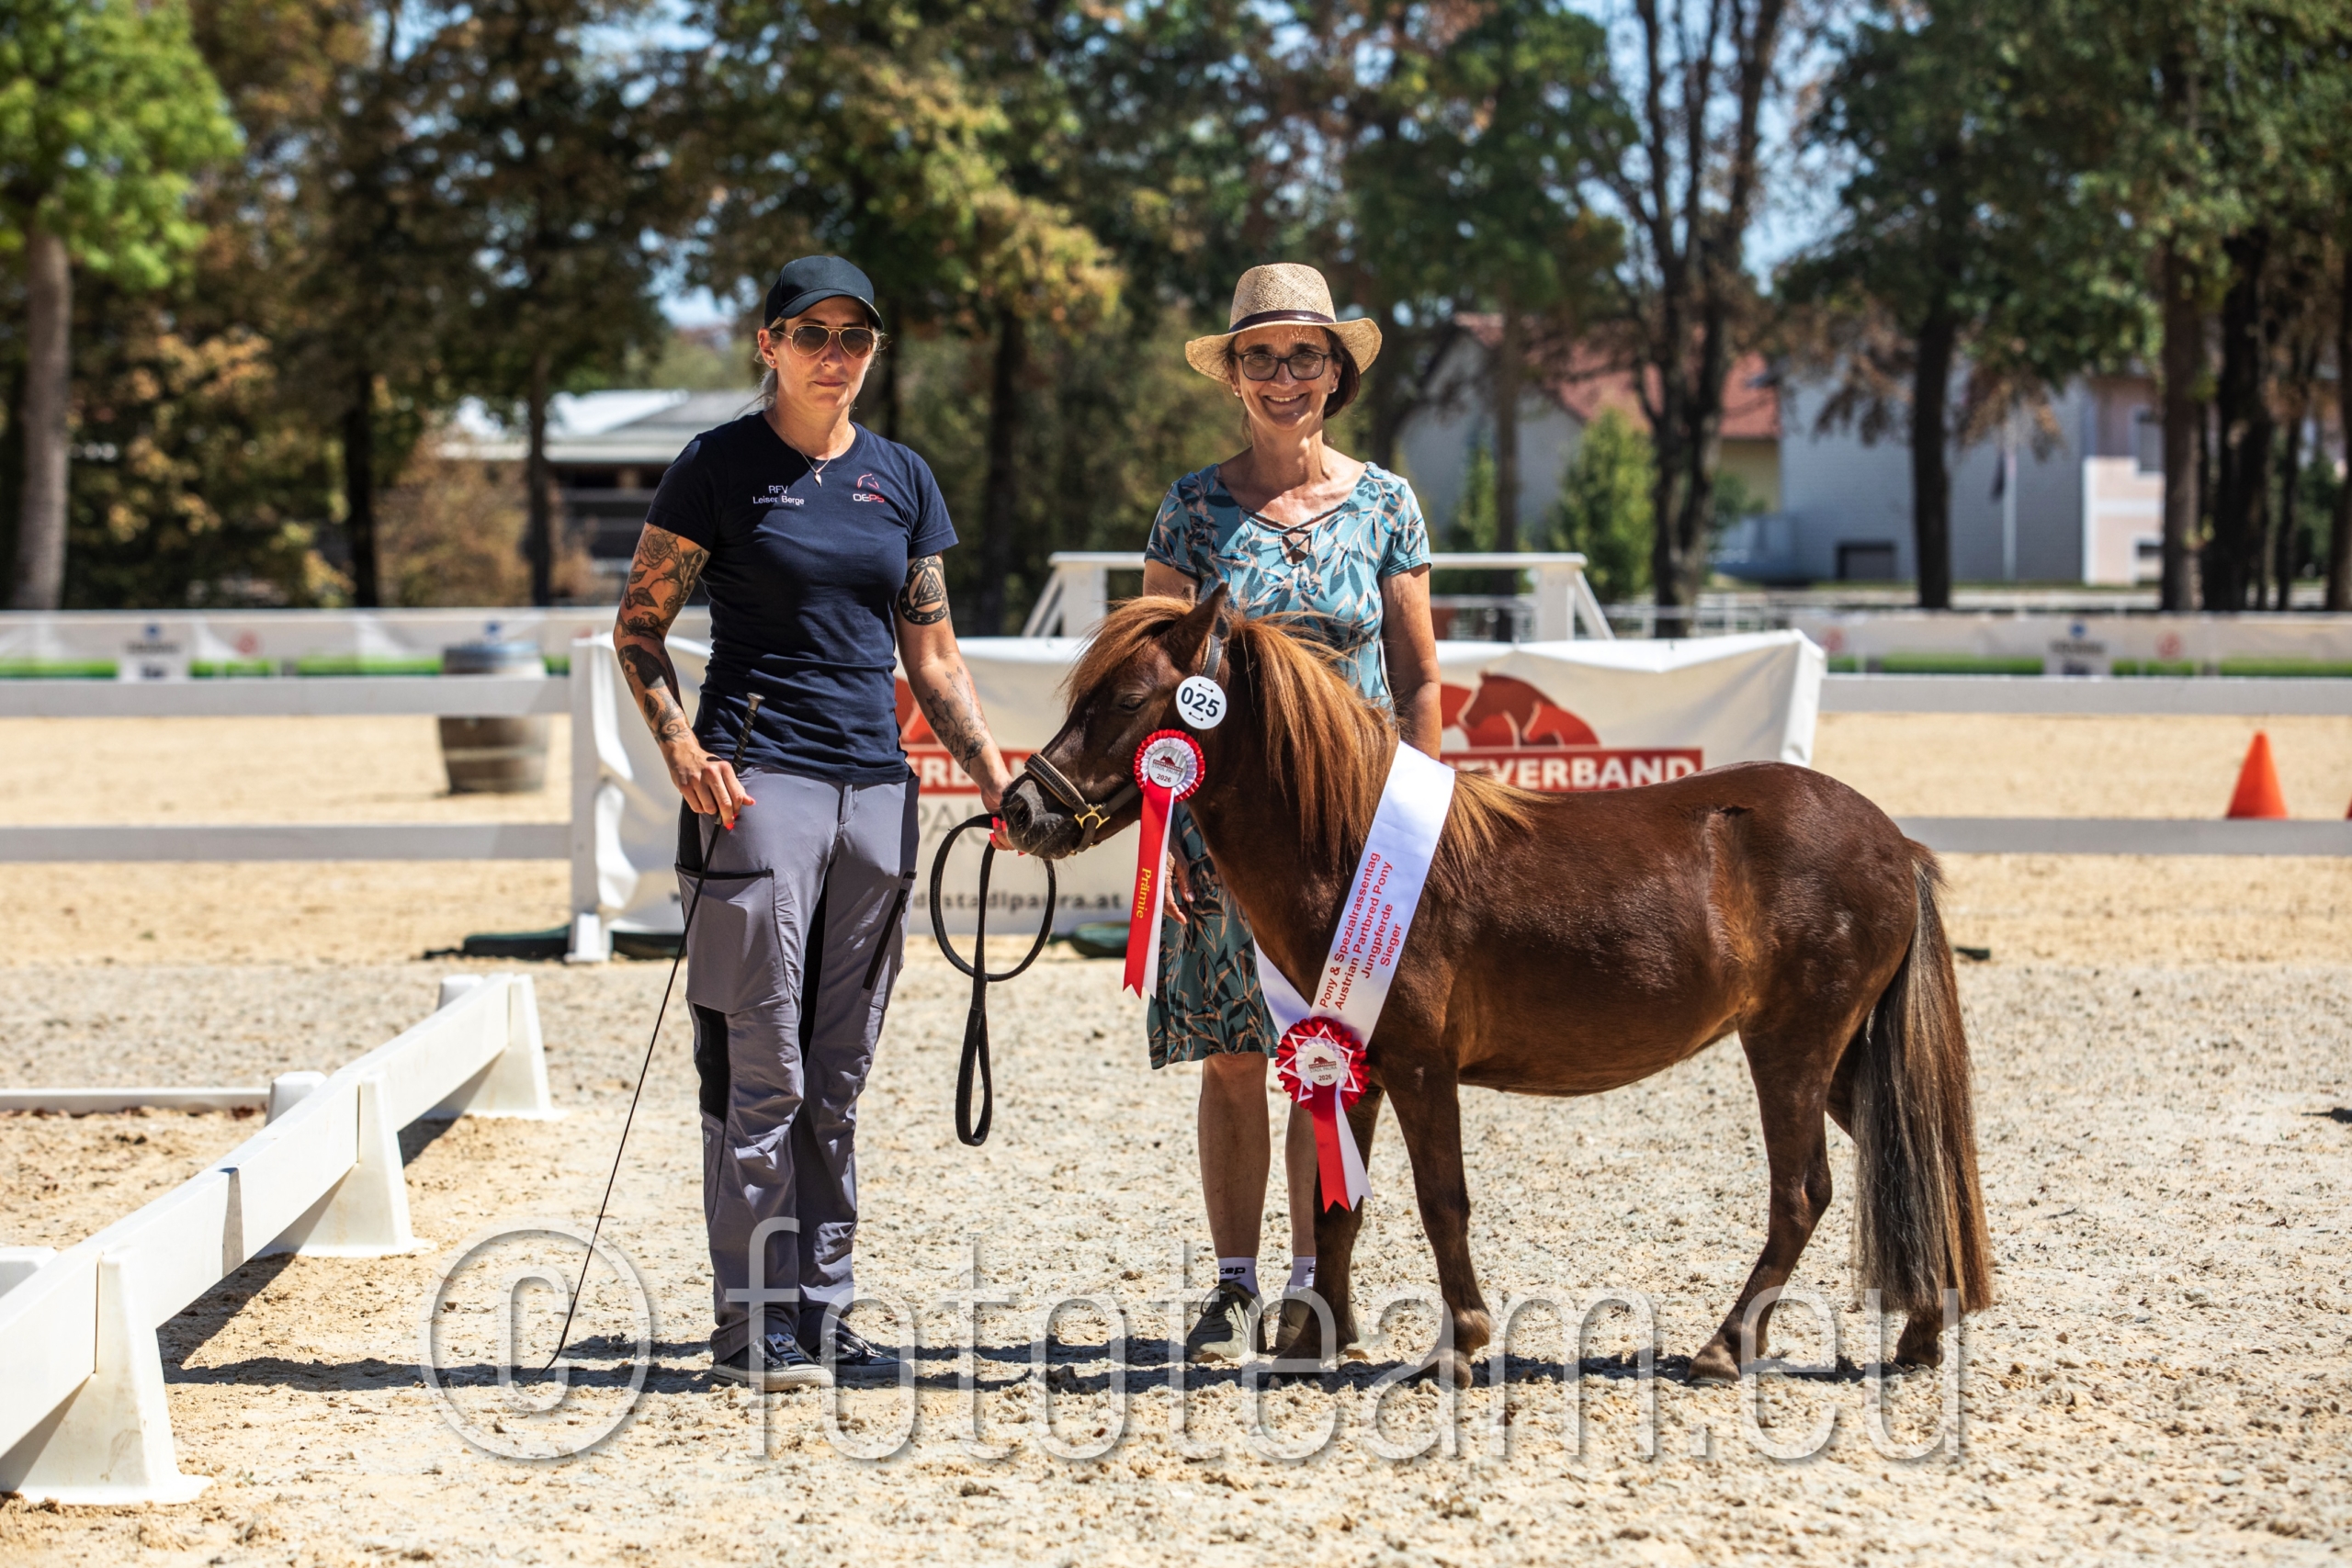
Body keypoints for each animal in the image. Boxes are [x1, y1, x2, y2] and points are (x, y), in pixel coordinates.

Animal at [998, 587, 1994, 1384]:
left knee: (1803, 1193)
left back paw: (1724, 1346)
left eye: (1129, 700)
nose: (1021, 808)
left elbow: (1442, 1201)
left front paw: (1457, 1342)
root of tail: (1893, 840)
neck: (1346, 844)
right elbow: (1337, 1207)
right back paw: (1919, 1331)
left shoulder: (1421, 1067)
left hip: (1790, 1046)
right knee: (1905, 1162)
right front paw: (1311, 1345)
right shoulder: (1347, 1059)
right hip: (1840, 1059)